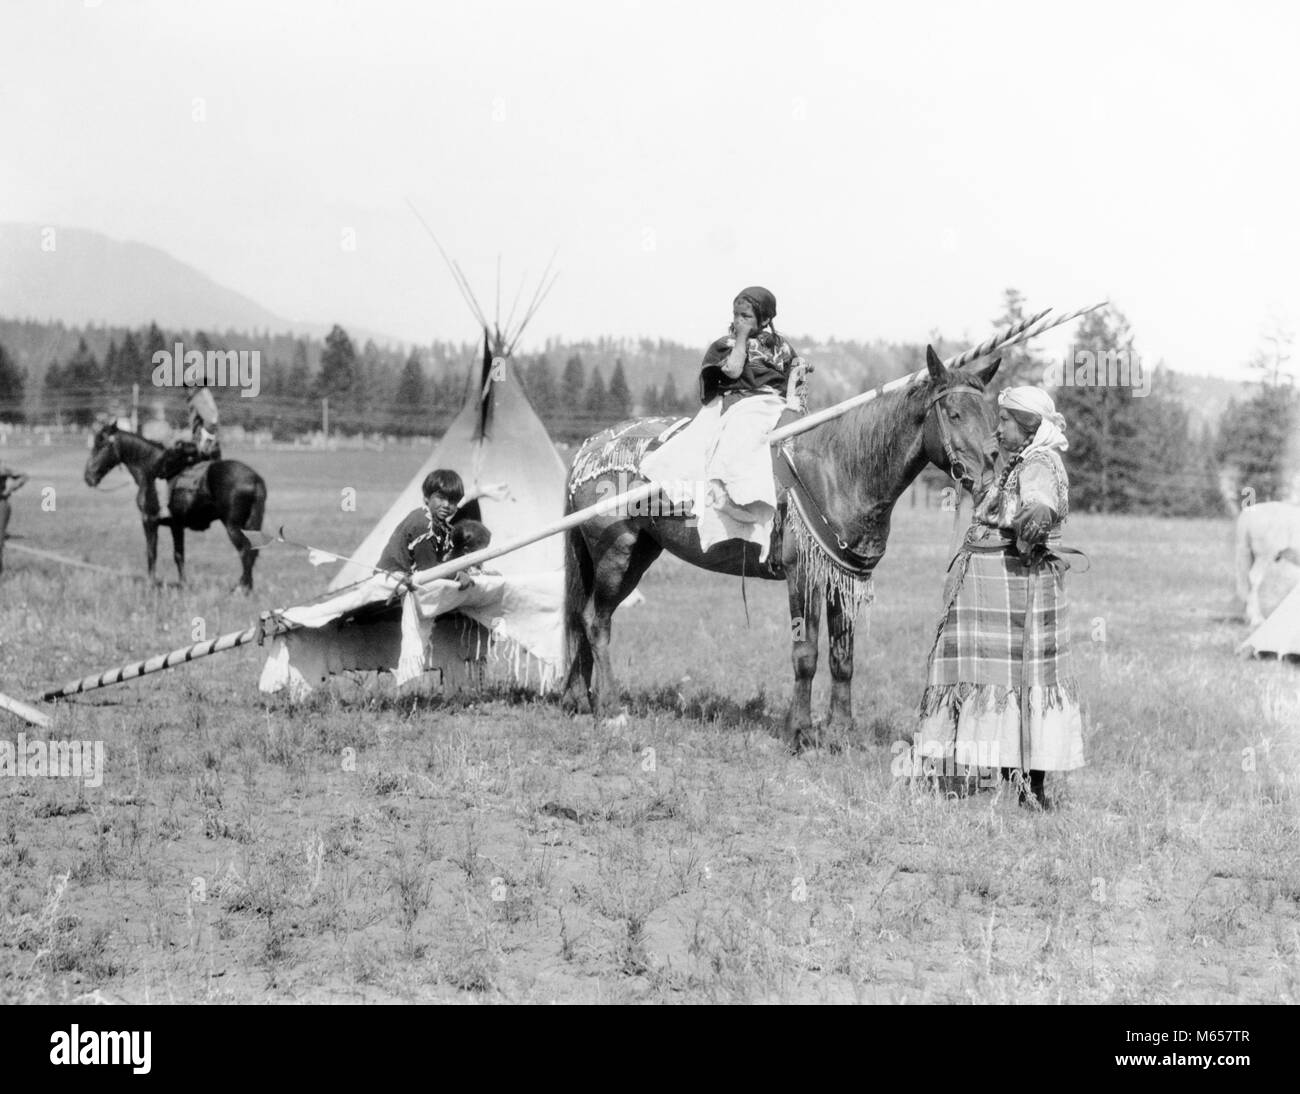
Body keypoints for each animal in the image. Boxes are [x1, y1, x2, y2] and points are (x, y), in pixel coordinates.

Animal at [84, 420, 269, 587]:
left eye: (101, 445)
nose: (88, 477)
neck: (150, 469)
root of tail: (256, 479)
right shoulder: (177, 525)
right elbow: (179, 555)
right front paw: (183, 584)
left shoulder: (149, 520)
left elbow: (152, 553)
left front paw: (151, 584)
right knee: (253, 551)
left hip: (233, 526)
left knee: (245, 551)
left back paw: (240, 588)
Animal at [564, 345, 998, 748]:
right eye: (955, 414)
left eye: (990, 414)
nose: (992, 468)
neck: (839, 469)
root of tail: (588, 449)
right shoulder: (802, 576)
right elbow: (805, 655)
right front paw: (799, 730)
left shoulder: (840, 579)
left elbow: (843, 658)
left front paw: (842, 731)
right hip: (616, 553)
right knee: (597, 621)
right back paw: (610, 709)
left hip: (638, 554)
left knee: (582, 617)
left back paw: (579, 700)